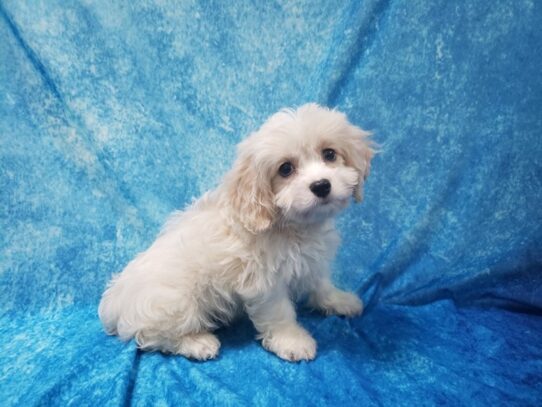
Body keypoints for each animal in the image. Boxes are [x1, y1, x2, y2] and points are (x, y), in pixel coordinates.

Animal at [99, 103, 374, 362]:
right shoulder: (264, 282)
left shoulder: (312, 262)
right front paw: (293, 341)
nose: (321, 185)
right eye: (285, 169)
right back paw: (197, 343)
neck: (291, 225)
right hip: (172, 303)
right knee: (150, 335)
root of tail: (115, 300)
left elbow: (321, 284)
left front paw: (339, 300)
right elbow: (280, 312)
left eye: (329, 154)